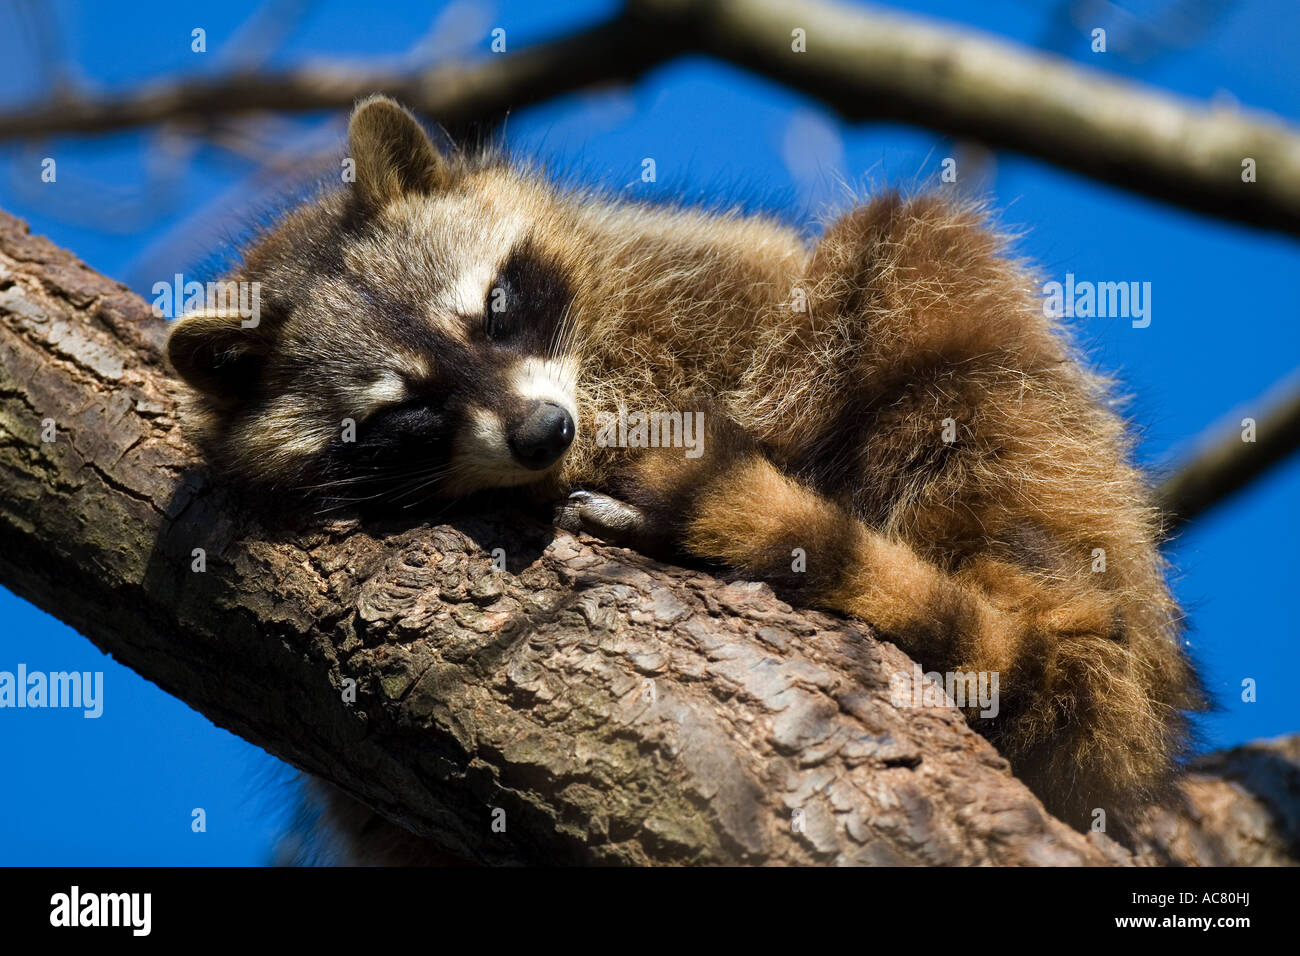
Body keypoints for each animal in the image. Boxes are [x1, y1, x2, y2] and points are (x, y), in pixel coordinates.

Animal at [167, 95, 1205, 843]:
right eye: (411, 409)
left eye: (496, 307)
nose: (544, 433)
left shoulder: (676, 268)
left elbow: (775, 323)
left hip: (1045, 459)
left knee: (910, 257)